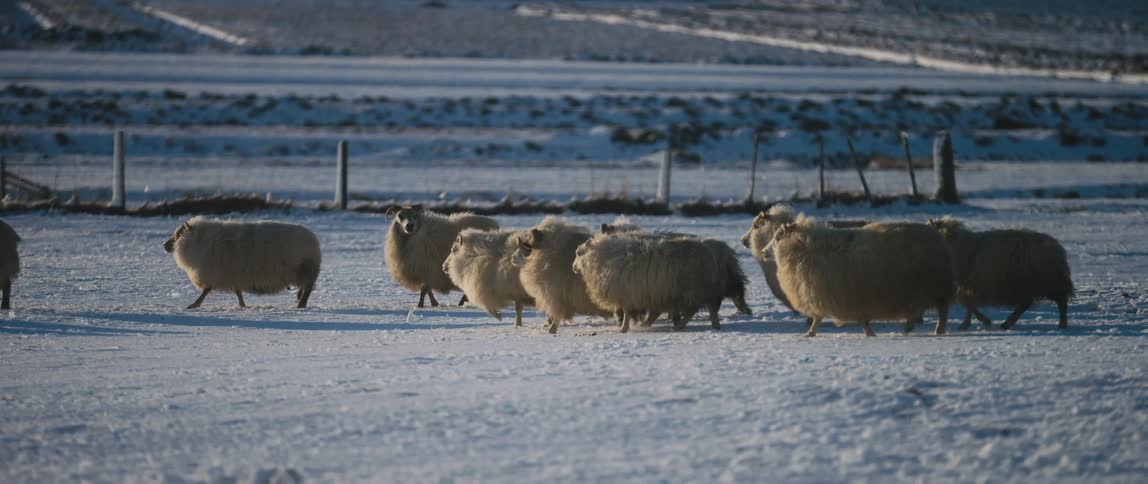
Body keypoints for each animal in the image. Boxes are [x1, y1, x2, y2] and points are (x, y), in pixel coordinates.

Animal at [163, 217, 321, 309]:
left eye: (178, 235)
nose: (164, 245)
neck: (198, 241)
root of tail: (314, 240)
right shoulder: (233, 276)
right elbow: (238, 292)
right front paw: (243, 306)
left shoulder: (213, 273)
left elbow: (206, 290)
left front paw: (194, 304)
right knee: (305, 289)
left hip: (304, 270)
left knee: (307, 289)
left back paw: (300, 305)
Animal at [573, 233, 723, 333]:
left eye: (578, 253)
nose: (573, 268)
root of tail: (708, 253)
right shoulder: (630, 293)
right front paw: (627, 326)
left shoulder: (626, 293)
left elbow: (626, 311)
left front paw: (624, 328)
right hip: (696, 290)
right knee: (707, 307)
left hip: (695, 289)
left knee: (698, 309)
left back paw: (683, 325)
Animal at [767, 220, 954, 336]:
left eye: (777, 236)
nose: (764, 252)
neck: (801, 248)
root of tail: (938, 237)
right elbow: (858, 320)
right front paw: (869, 333)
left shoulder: (821, 294)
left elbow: (818, 318)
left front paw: (810, 333)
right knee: (919, 312)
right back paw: (910, 328)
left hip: (936, 289)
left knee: (942, 311)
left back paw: (936, 330)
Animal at [928, 217, 1073, 330]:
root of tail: (1057, 247)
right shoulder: (967, 284)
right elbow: (968, 304)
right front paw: (967, 323)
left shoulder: (965, 283)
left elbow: (967, 303)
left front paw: (981, 321)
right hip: (1030, 284)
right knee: (1025, 304)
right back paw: (1007, 323)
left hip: (1050, 282)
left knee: (1062, 303)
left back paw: (1062, 324)